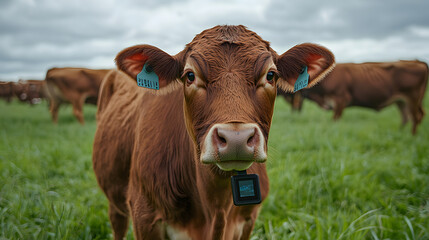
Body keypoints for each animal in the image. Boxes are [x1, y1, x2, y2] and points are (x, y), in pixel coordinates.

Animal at [93, 23, 334, 238]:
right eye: (190, 76)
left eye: (271, 75)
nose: (236, 138)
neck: (215, 208)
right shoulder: (144, 216)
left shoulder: (247, 220)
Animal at [280, 61, 424, 134]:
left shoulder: (340, 100)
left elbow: (335, 120)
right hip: (401, 101)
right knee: (406, 117)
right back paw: (400, 133)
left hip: (412, 98)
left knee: (415, 117)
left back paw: (412, 136)